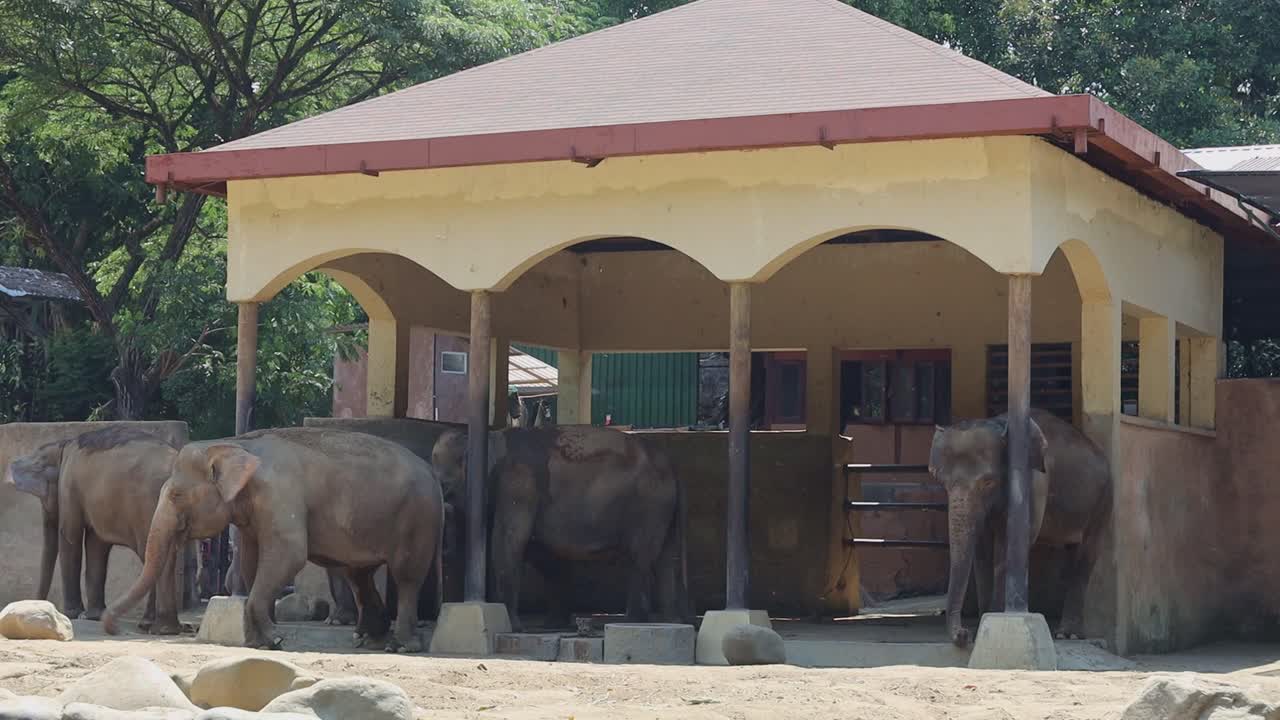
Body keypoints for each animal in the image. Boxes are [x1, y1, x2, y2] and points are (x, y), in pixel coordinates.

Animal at [3, 427, 183, 634]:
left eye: (43, 495)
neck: (61, 445)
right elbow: (97, 545)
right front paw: (92, 616)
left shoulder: (69, 486)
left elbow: (70, 536)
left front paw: (73, 614)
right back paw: (151, 624)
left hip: (149, 507)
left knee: (150, 556)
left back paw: (149, 624)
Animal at [102, 427, 445, 652]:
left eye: (176, 495)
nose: (116, 630)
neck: (235, 444)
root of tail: (431, 470)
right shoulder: (251, 514)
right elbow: (252, 560)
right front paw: (261, 641)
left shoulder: (281, 494)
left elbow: (289, 554)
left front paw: (274, 639)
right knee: (359, 575)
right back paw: (370, 640)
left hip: (419, 518)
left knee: (406, 576)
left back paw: (402, 646)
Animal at [431, 425, 688, 632]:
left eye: (445, 486)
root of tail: (672, 469)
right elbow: (540, 551)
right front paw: (552, 625)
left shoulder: (517, 484)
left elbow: (510, 542)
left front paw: (513, 627)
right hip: (663, 508)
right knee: (665, 559)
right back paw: (671, 621)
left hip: (649, 503)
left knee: (640, 557)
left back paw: (632, 621)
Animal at [929, 408, 1112, 647]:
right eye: (943, 483)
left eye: (988, 482)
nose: (963, 634)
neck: (999, 423)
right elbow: (981, 547)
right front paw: (983, 622)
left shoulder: (1034, 481)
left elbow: (1015, 540)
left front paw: (993, 618)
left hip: (1103, 502)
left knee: (1086, 554)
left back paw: (1068, 635)